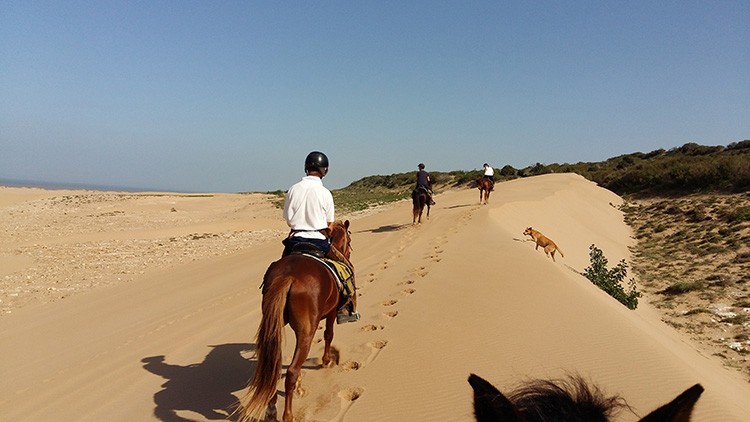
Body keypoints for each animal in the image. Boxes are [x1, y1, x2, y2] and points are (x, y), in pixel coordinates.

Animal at [238, 221, 356, 422]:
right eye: (349, 239)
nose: (348, 252)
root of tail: (288, 276)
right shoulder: (331, 313)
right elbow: (328, 335)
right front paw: (326, 361)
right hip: (306, 331)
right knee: (291, 371)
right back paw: (288, 415)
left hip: (274, 327)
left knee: (273, 367)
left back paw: (271, 410)